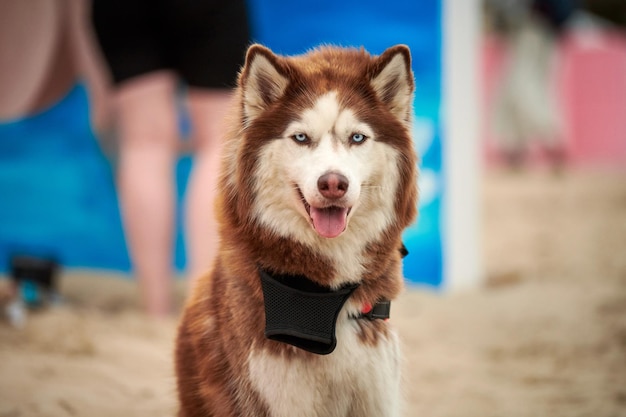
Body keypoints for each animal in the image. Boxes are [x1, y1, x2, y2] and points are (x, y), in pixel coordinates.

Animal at [176, 44, 416, 414]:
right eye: (301, 137)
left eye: (357, 137)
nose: (333, 184)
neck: (327, 296)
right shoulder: (278, 395)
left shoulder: (376, 391)